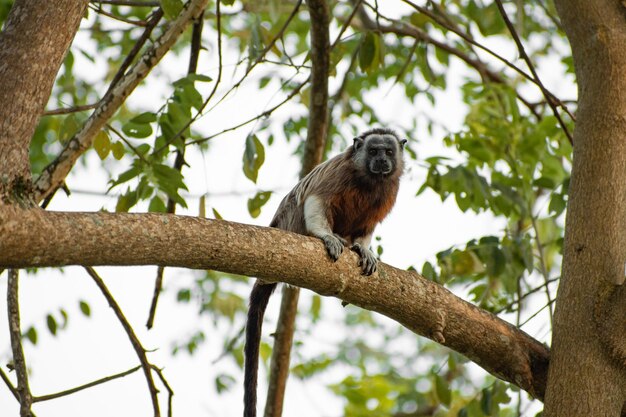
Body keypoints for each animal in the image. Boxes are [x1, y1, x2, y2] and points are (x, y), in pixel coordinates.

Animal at [241, 127, 408, 416]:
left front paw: (363, 249)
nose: (381, 161)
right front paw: (325, 236)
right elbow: (316, 199)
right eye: (374, 151)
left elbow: (367, 227)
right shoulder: (338, 173)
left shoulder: (390, 191)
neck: (369, 180)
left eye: (388, 151)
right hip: (290, 223)